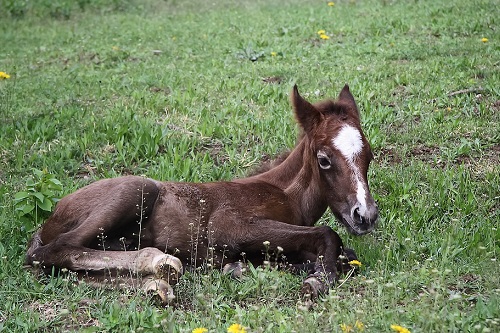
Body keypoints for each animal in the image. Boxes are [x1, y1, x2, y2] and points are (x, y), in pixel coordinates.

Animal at [25, 85, 376, 300]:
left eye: (369, 156)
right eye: (324, 159)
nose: (365, 216)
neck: (285, 193)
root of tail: (49, 220)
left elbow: (347, 255)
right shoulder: (229, 226)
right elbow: (328, 234)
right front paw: (317, 279)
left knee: (66, 269)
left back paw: (156, 284)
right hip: (136, 188)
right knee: (55, 251)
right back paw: (158, 262)